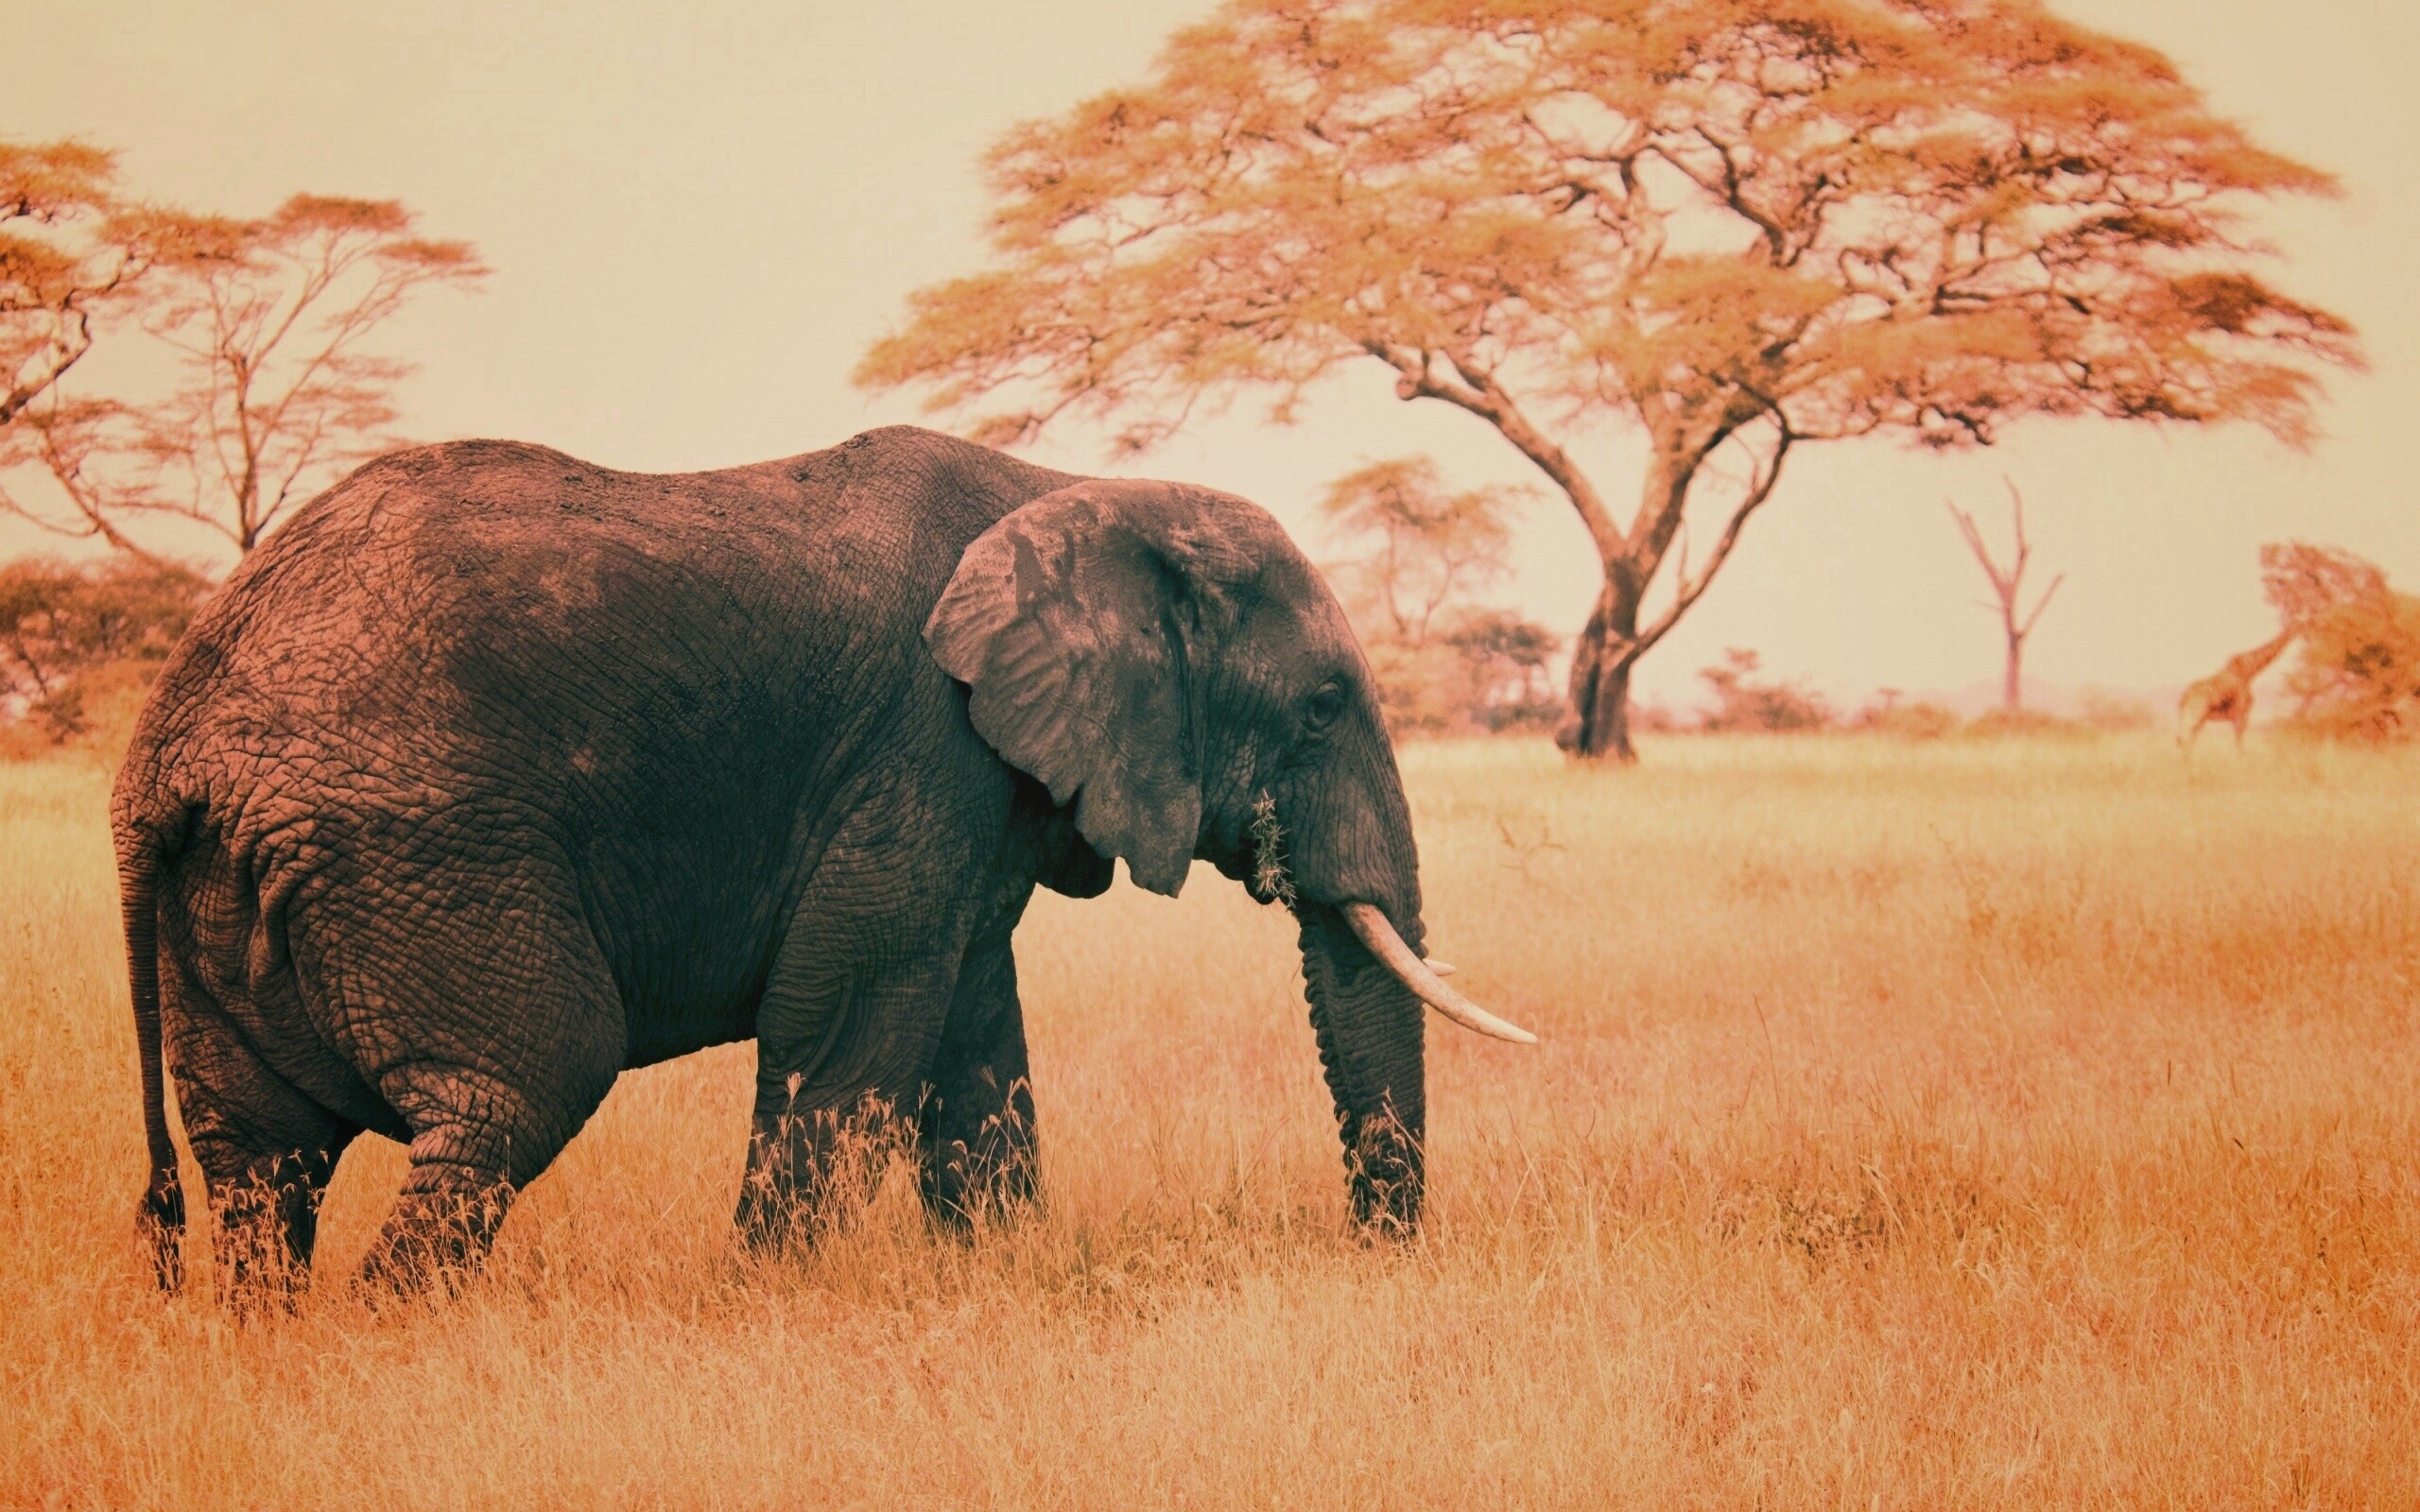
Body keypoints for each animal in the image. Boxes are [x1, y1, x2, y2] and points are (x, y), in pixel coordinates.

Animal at [113, 424, 1533, 1302]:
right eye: (1322, 706)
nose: (1377, 1258)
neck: (1075, 487)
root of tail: (169, 749)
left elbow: (973, 1039)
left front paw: (995, 1279)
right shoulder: (922, 745)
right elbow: (848, 1025)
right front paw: (767, 1303)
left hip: (243, 887)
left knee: (259, 1164)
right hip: (418, 846)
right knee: (514, 1094)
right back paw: (392, 1339)